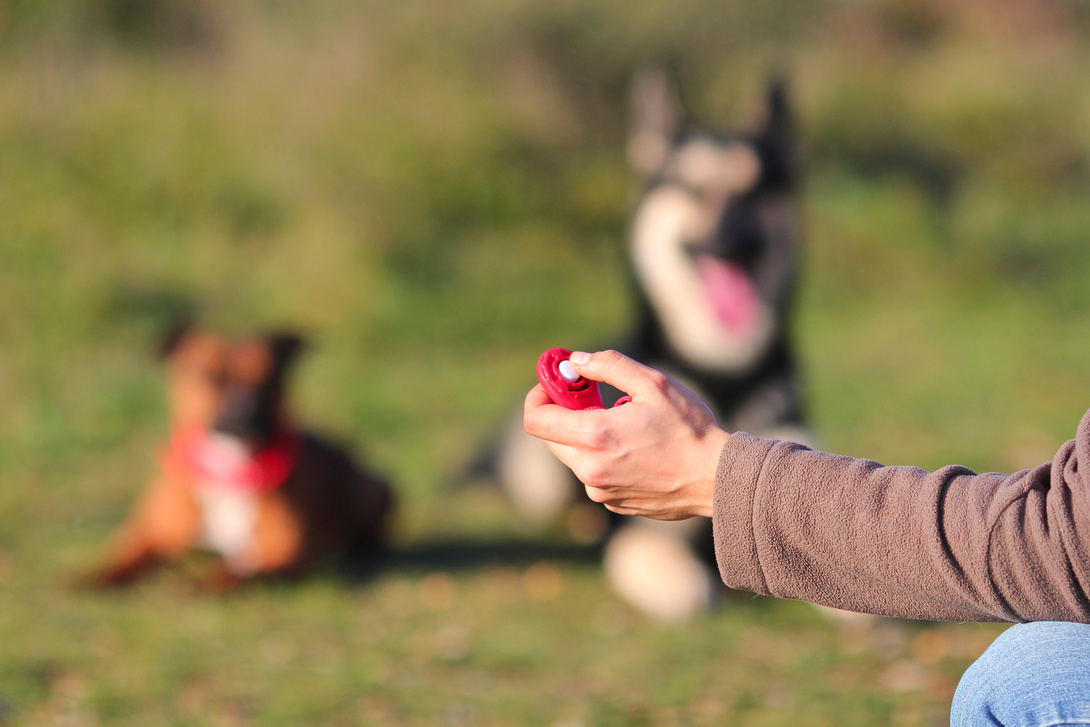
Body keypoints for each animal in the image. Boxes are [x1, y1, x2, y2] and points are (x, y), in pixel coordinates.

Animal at [86, 324, 392, 592]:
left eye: (271, 380)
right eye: (210, 376)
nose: (245, 410)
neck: (229, 470)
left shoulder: (288, 557)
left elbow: (245, 572)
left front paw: (210, 582)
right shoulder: (145, 534)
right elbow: (124, 559)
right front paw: (95, 577)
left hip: (375, 489)